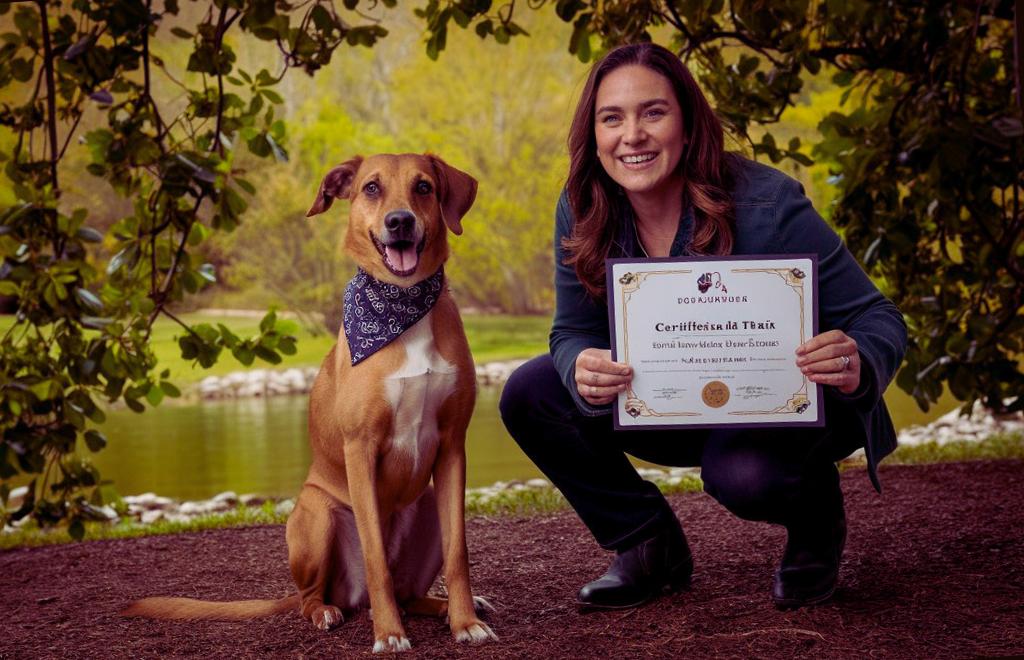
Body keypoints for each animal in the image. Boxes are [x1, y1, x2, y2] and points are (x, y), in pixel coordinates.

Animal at [125, 154, 497, 654]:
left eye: (423, 187)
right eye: (371, 188)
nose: (400, 221)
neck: (402, 308)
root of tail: (350, 597)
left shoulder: (453, 445)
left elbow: (460, 552)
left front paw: (465, 622)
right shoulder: (360, 447)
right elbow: (375, 555)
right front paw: (389, 634)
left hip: (427, 507)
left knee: (408, 591)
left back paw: (445, 608)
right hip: (316, 516)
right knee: (316, 595)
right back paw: (330, 612)